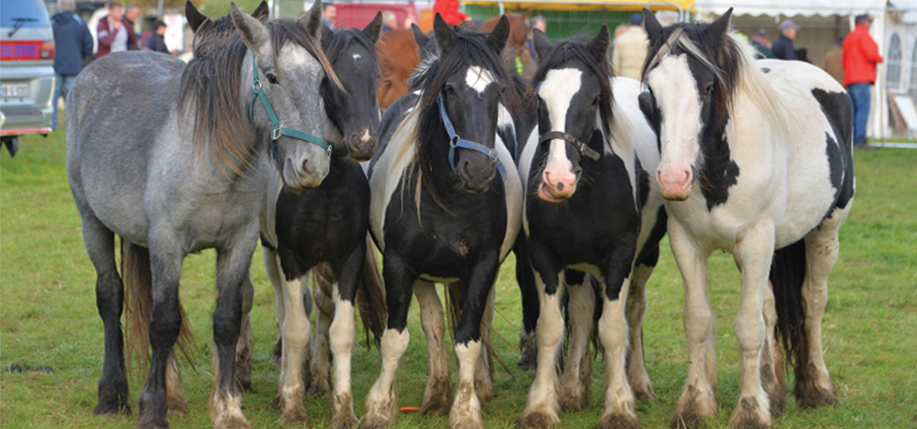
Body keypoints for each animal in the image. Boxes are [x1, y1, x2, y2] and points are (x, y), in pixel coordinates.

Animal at [258, 14, 386, 428]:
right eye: (330, 81)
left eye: (377, 76)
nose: (364, 141)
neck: (327, 186)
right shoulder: (291, 257)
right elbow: (294, 327)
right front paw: (292, 404)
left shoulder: (348, 257)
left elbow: (340, 329)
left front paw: (342, 408)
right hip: (271, 255)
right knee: (288, 313)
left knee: (322, 308)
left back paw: (318, 378)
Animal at [516, 27, 664, 428]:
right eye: (540, 98)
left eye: (594, 98)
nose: (558, 180)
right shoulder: (545, 257)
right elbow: (552, 329)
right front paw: (542, 404)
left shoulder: (620, 258)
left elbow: (614, 330)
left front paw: (619, 407)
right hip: (578, 267)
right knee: (582, 315)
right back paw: (572, 388)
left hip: (646, 257)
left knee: (634, 312)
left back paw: (639, 382)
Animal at [640, 8, 856, 426]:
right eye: (650, 92)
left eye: (709, 87)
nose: (673, 178)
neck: (716, 171)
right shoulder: (686, 243)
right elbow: (698, 321)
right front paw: (696, 403)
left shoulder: (756, 242)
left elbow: (748, 327)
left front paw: (751, 409)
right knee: (770, 308)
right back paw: (774, 389)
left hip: (825, 233)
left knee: (812, 301)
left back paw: (818, 387)